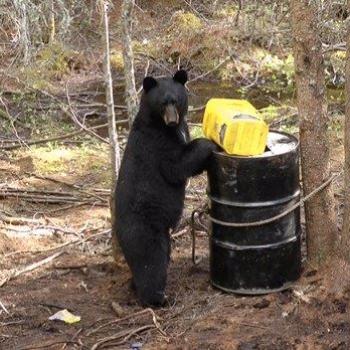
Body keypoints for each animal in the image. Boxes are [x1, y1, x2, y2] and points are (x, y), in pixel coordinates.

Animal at [115, 69, 217, 304]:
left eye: (176, 100)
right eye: (162, 103)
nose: (172, 120)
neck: (160, 125)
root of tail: (117, 232)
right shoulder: (157, 144)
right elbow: (177, 165)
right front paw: (210, 143)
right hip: (144, 230)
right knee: (151, 263)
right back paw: (158, 298)